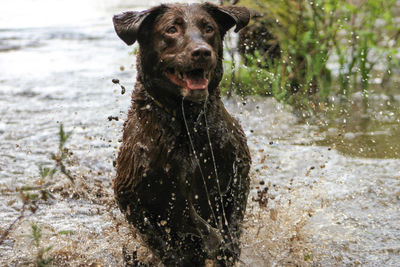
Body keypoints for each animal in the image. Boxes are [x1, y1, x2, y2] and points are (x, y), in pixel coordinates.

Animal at [112, 3, 250, 266]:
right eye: (171, 29)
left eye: (208, 28)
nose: (202, 52)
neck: (188, 123)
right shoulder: (130, 192)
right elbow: (180, 214)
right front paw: (207, 240)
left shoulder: (238, 165)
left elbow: (233, 220)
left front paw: (225, 246)